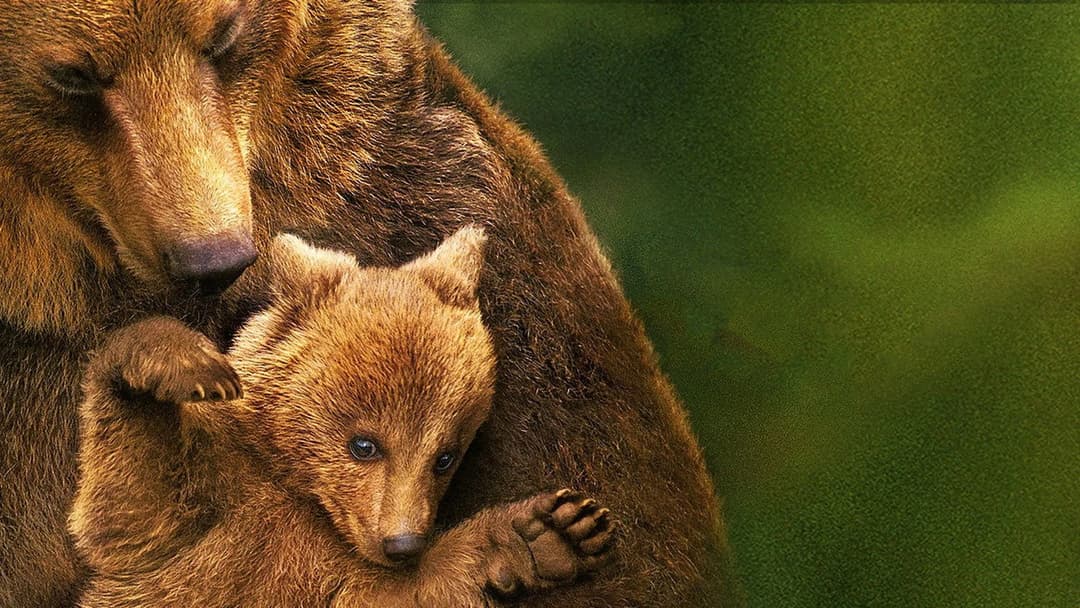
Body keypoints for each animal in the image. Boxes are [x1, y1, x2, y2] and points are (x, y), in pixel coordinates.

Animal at [69, 228, 616, 607]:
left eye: (445, 456)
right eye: (364, 444)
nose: (403, 542)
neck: (298, 492)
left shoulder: (330, 570)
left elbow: (397, 592)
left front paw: (552, 531)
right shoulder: (203, 512)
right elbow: (131, 501)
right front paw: (184, 364)